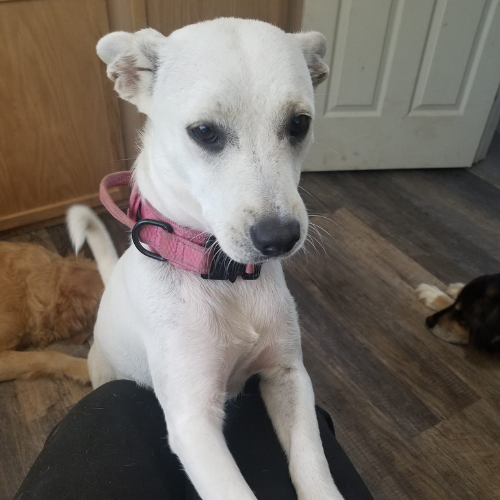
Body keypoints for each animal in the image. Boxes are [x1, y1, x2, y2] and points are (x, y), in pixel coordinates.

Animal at [79, 17, 344, 500]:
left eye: (299, 124)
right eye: (204, 132)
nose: (279, 238)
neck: (223, 279)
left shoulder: (289, 375)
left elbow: (312, 463)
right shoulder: (193, 424)